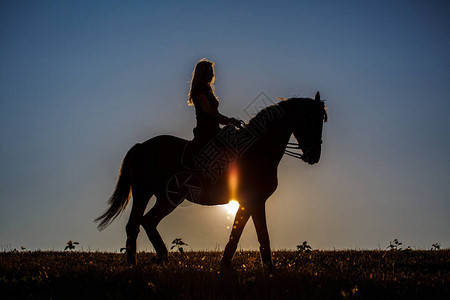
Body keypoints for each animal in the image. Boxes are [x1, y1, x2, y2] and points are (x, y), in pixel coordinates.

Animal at [96, 91, 326, 268]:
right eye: (311, 119)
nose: (314, 156)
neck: (258, 150)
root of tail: (141, 146)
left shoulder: (250, 202)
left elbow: (242, 232)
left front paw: (229, 264)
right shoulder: (255, 200)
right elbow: (256, 233)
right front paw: (264, 268)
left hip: (148, 194)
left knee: (136, 224)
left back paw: (138, 263)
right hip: (163, 196)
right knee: (145, 221)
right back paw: (160, 259)